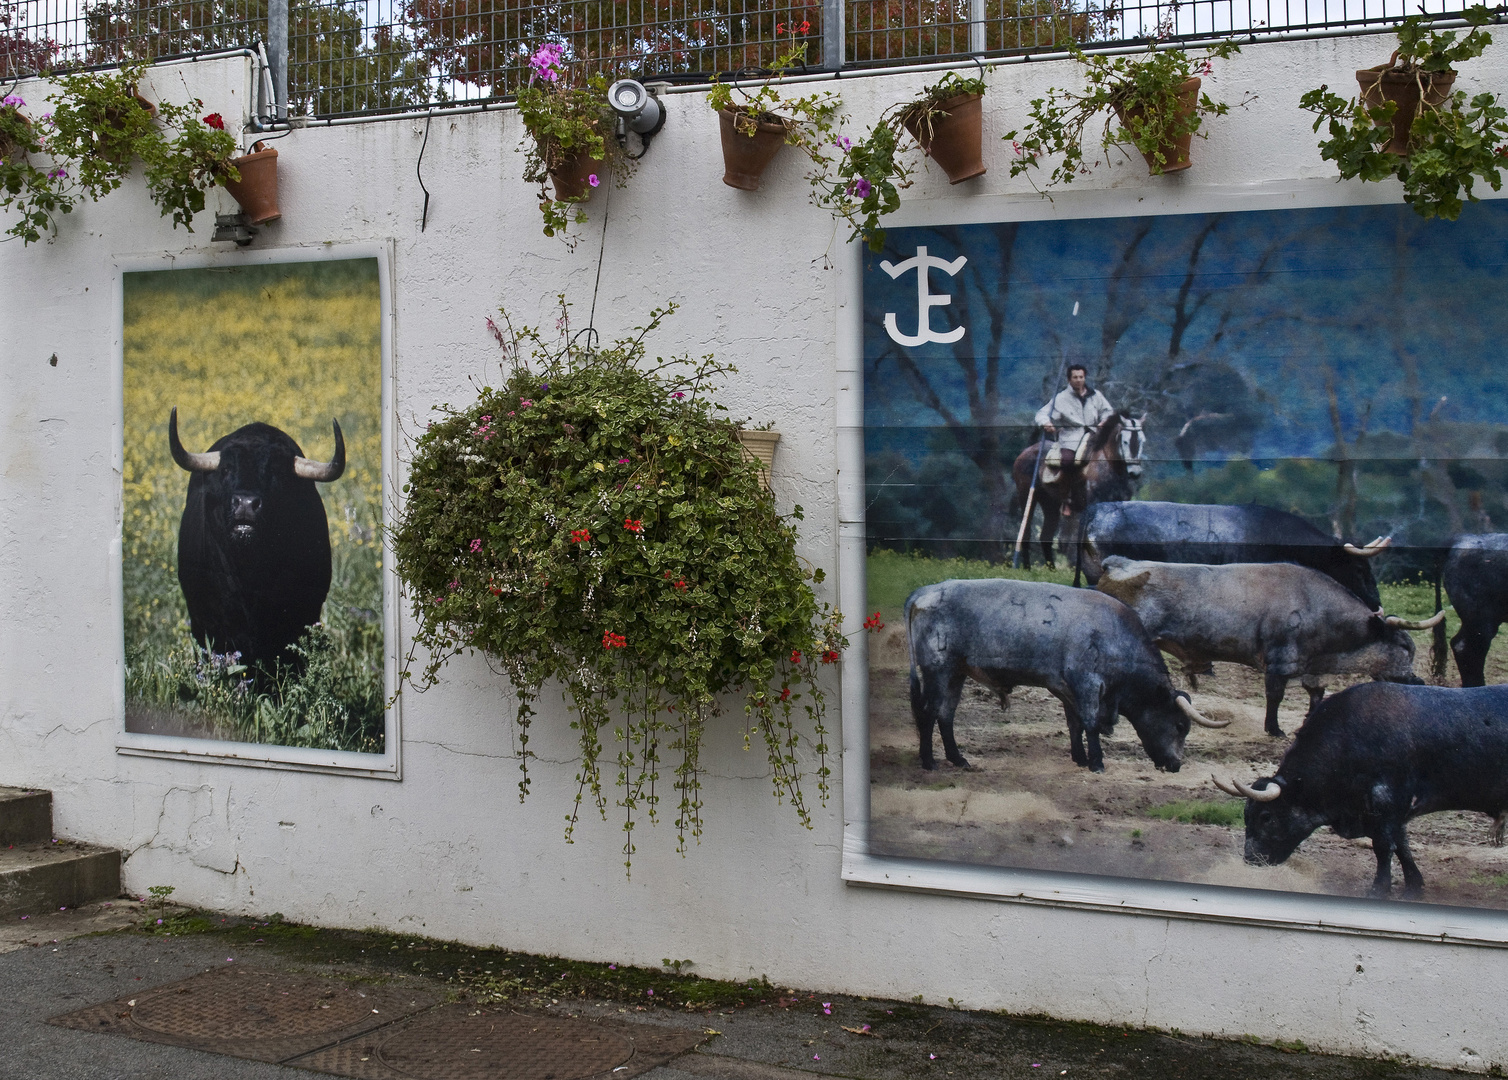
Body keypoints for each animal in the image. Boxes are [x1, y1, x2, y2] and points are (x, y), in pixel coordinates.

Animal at [898, 582, 1218, 778]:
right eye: (1180, 725)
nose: (1176, 765)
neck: (1115, 636)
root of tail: (926, 592)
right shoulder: (1087, 685)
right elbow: (1090, 723)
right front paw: (1097, 762)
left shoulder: (1068, 689)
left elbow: (1075, 723)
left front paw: (1080, 758)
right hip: (937, 671)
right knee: (928, 713)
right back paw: (929, 761)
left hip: (956, 674)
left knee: (946, 715)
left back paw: (957, 758)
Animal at [1013, 410, 1140, 570]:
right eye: (1125, 441)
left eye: (1142, 441)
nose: (1135, 472)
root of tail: (1024, 453)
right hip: (1026, 496)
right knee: (1026, 532)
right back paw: (1027, 568)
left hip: (1050, 504)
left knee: (1045, 536)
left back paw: (1052, 569)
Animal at [1097, 558, 1435, 733]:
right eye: (1406, 648)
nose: (1418, 682)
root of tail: (1117, 563)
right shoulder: (1279, 660)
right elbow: (1275, 696)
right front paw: (1274, 728)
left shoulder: (1312, 667)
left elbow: (1316, 695)